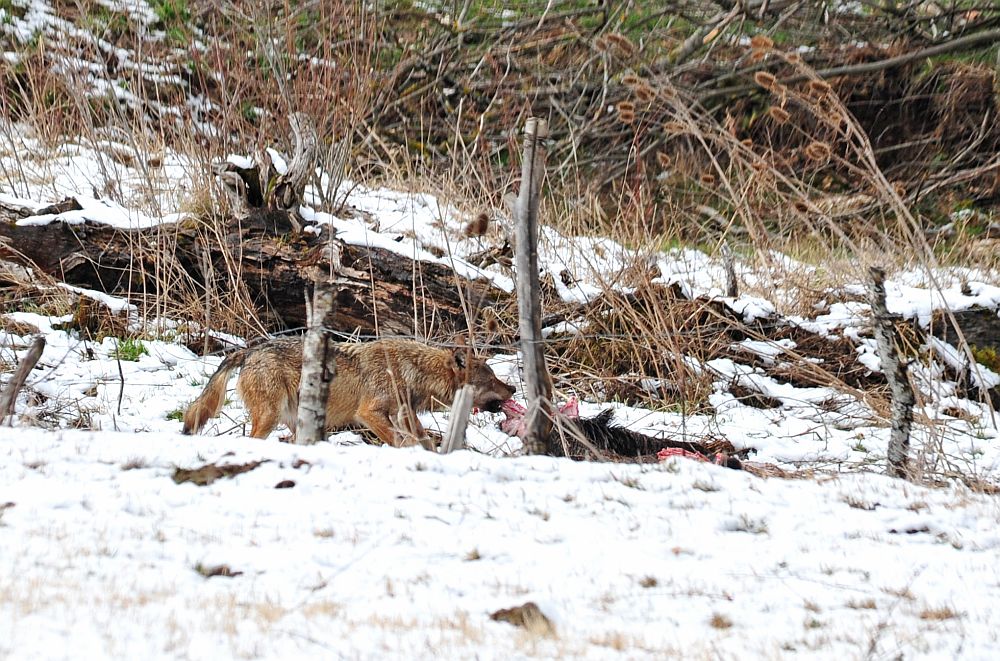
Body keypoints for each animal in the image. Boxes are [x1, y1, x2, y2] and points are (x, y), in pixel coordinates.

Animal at [179, 340, 516, 444]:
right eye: (491, 378)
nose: (513, 387)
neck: (409, 371)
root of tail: (249, 351)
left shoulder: (406, 417)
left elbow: (422, 442)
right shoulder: (368, 414)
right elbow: (398, 442)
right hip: (270, 418)